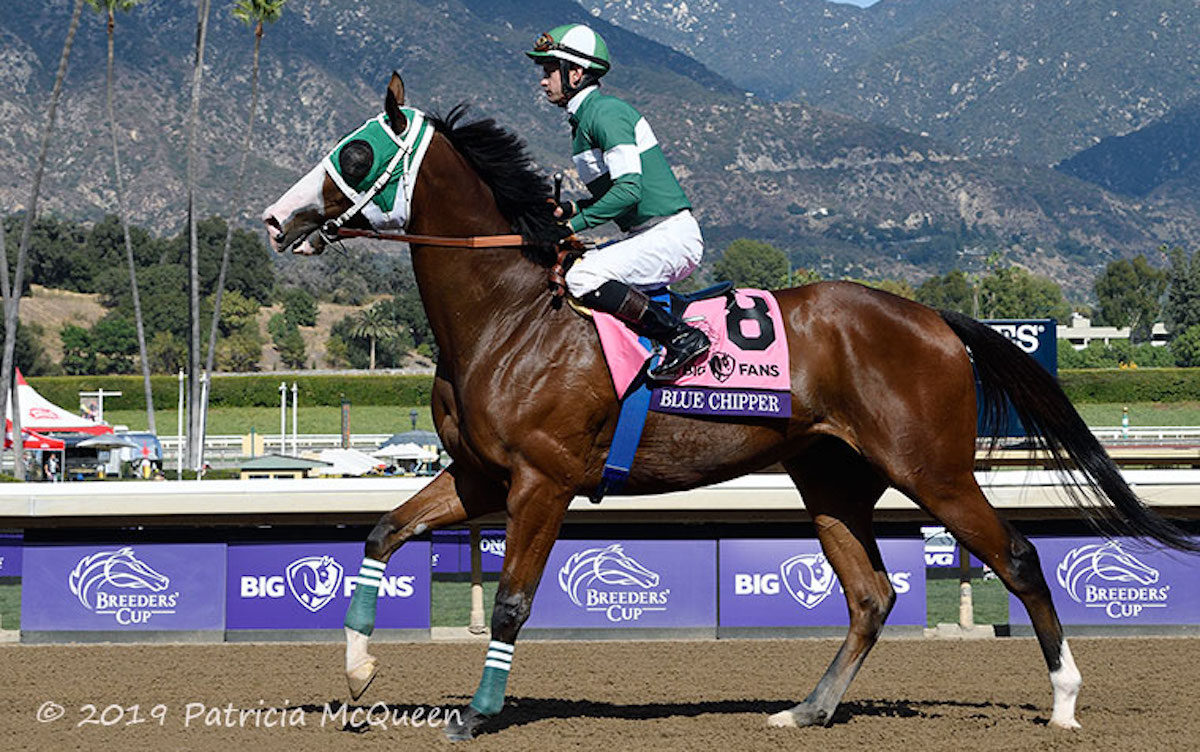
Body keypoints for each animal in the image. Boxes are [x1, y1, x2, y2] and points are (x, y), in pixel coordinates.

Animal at [262, 71, 1200, 743]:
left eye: (353, 153)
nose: (275, 220)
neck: (510, 314)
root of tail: (934, 318)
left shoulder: (542, 481)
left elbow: (513, 602)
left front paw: (476, 713)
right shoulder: (480, 477)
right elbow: (382, 533)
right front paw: (357, 674)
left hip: (930, 467)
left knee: (1016, 555)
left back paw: (1066, 701)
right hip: (831, 480)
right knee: (872, 595)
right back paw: (808, 709)